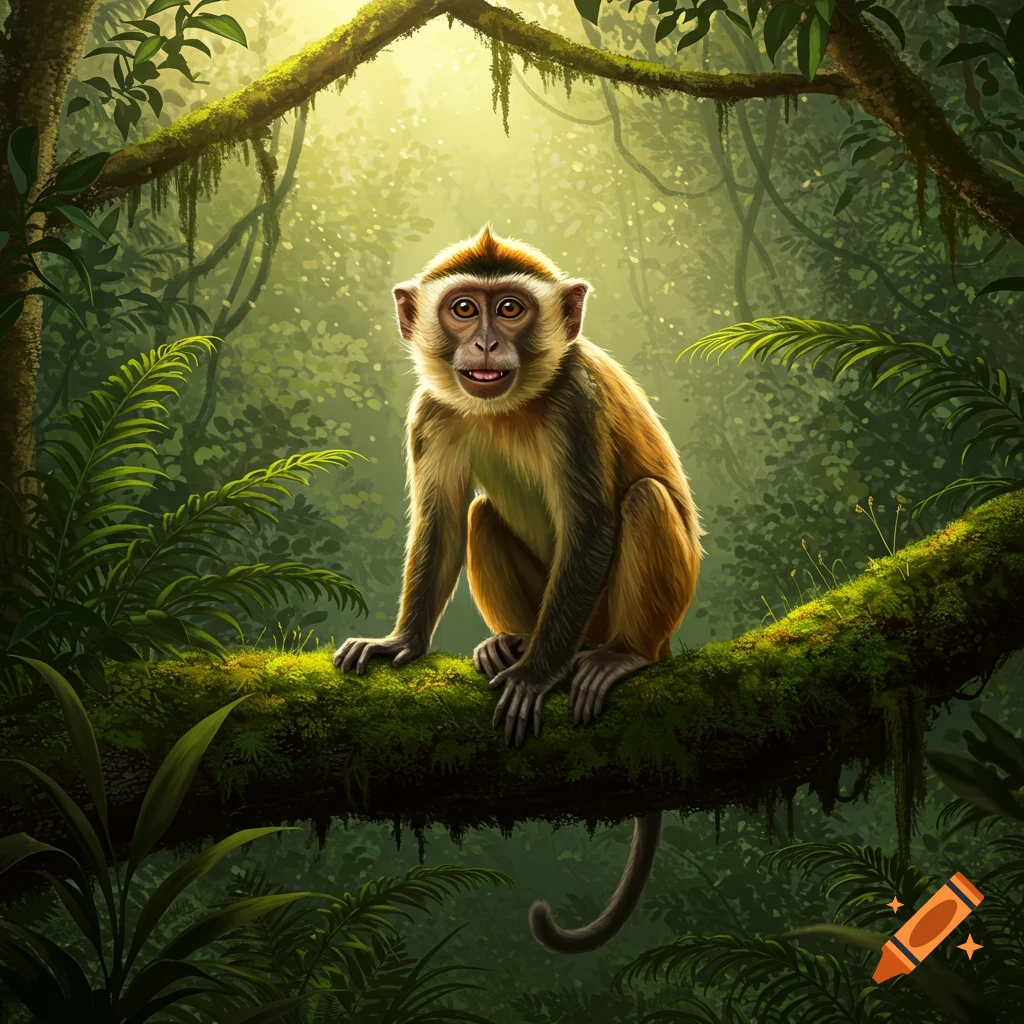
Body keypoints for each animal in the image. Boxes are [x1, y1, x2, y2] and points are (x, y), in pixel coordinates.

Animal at [334, 225, 703, 954]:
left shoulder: (575, 405)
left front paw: (535, 676)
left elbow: (591, 527)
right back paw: (510, 641)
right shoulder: (431, 411)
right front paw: (401, 643)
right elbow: (444, 521)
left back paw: (616, 656)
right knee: (480, 515)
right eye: (463, 309)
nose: (483, 344)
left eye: (509, 309)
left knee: (643, 501)